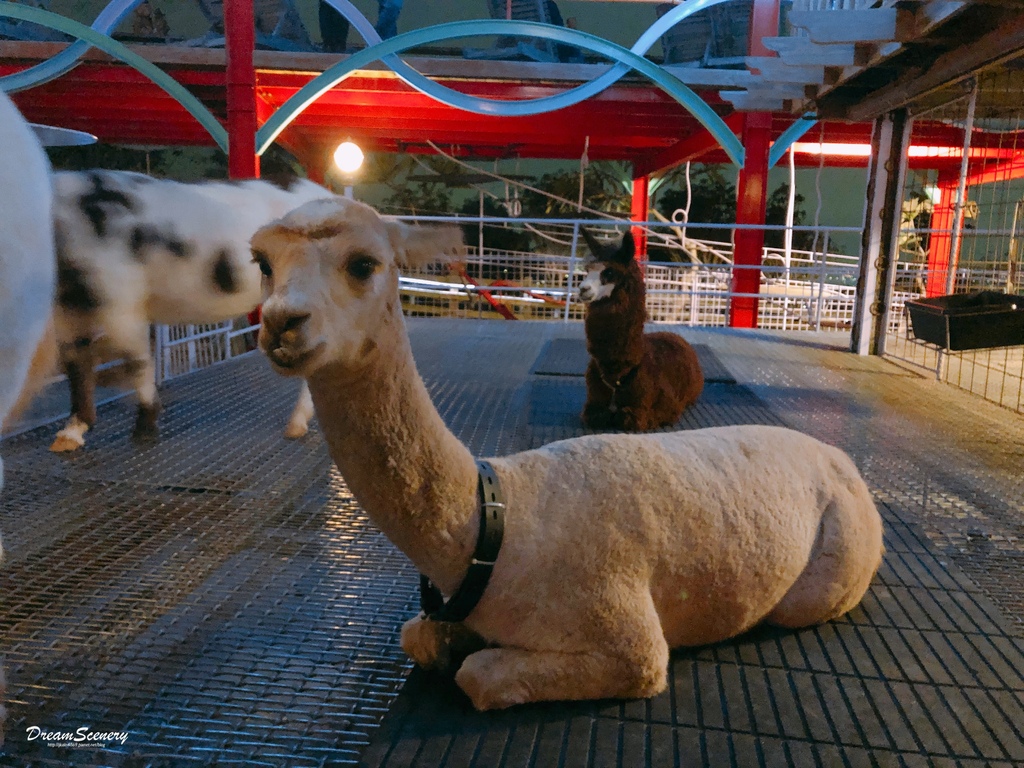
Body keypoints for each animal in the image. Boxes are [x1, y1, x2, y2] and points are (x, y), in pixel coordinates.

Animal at [51, 169, 331, 450]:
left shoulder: (121, 299)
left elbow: (136, 361)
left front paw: (144, 432)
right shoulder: (69, 313)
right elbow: (76, 363)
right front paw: (67, 438)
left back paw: (295, 426)